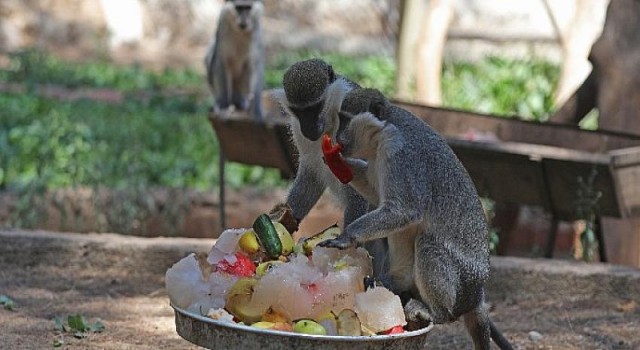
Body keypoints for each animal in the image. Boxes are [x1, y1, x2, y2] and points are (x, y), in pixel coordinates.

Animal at [322, 88, 512, 350]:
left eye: (345, 119)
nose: (337, 138)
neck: (384, 131)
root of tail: (478, 293)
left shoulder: (401, 156)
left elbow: (405, 210)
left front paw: (347, 236)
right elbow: (377, 195)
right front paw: (334, 161)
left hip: (463, 285)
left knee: (427, 243)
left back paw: (437, 312)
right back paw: (394, 284)